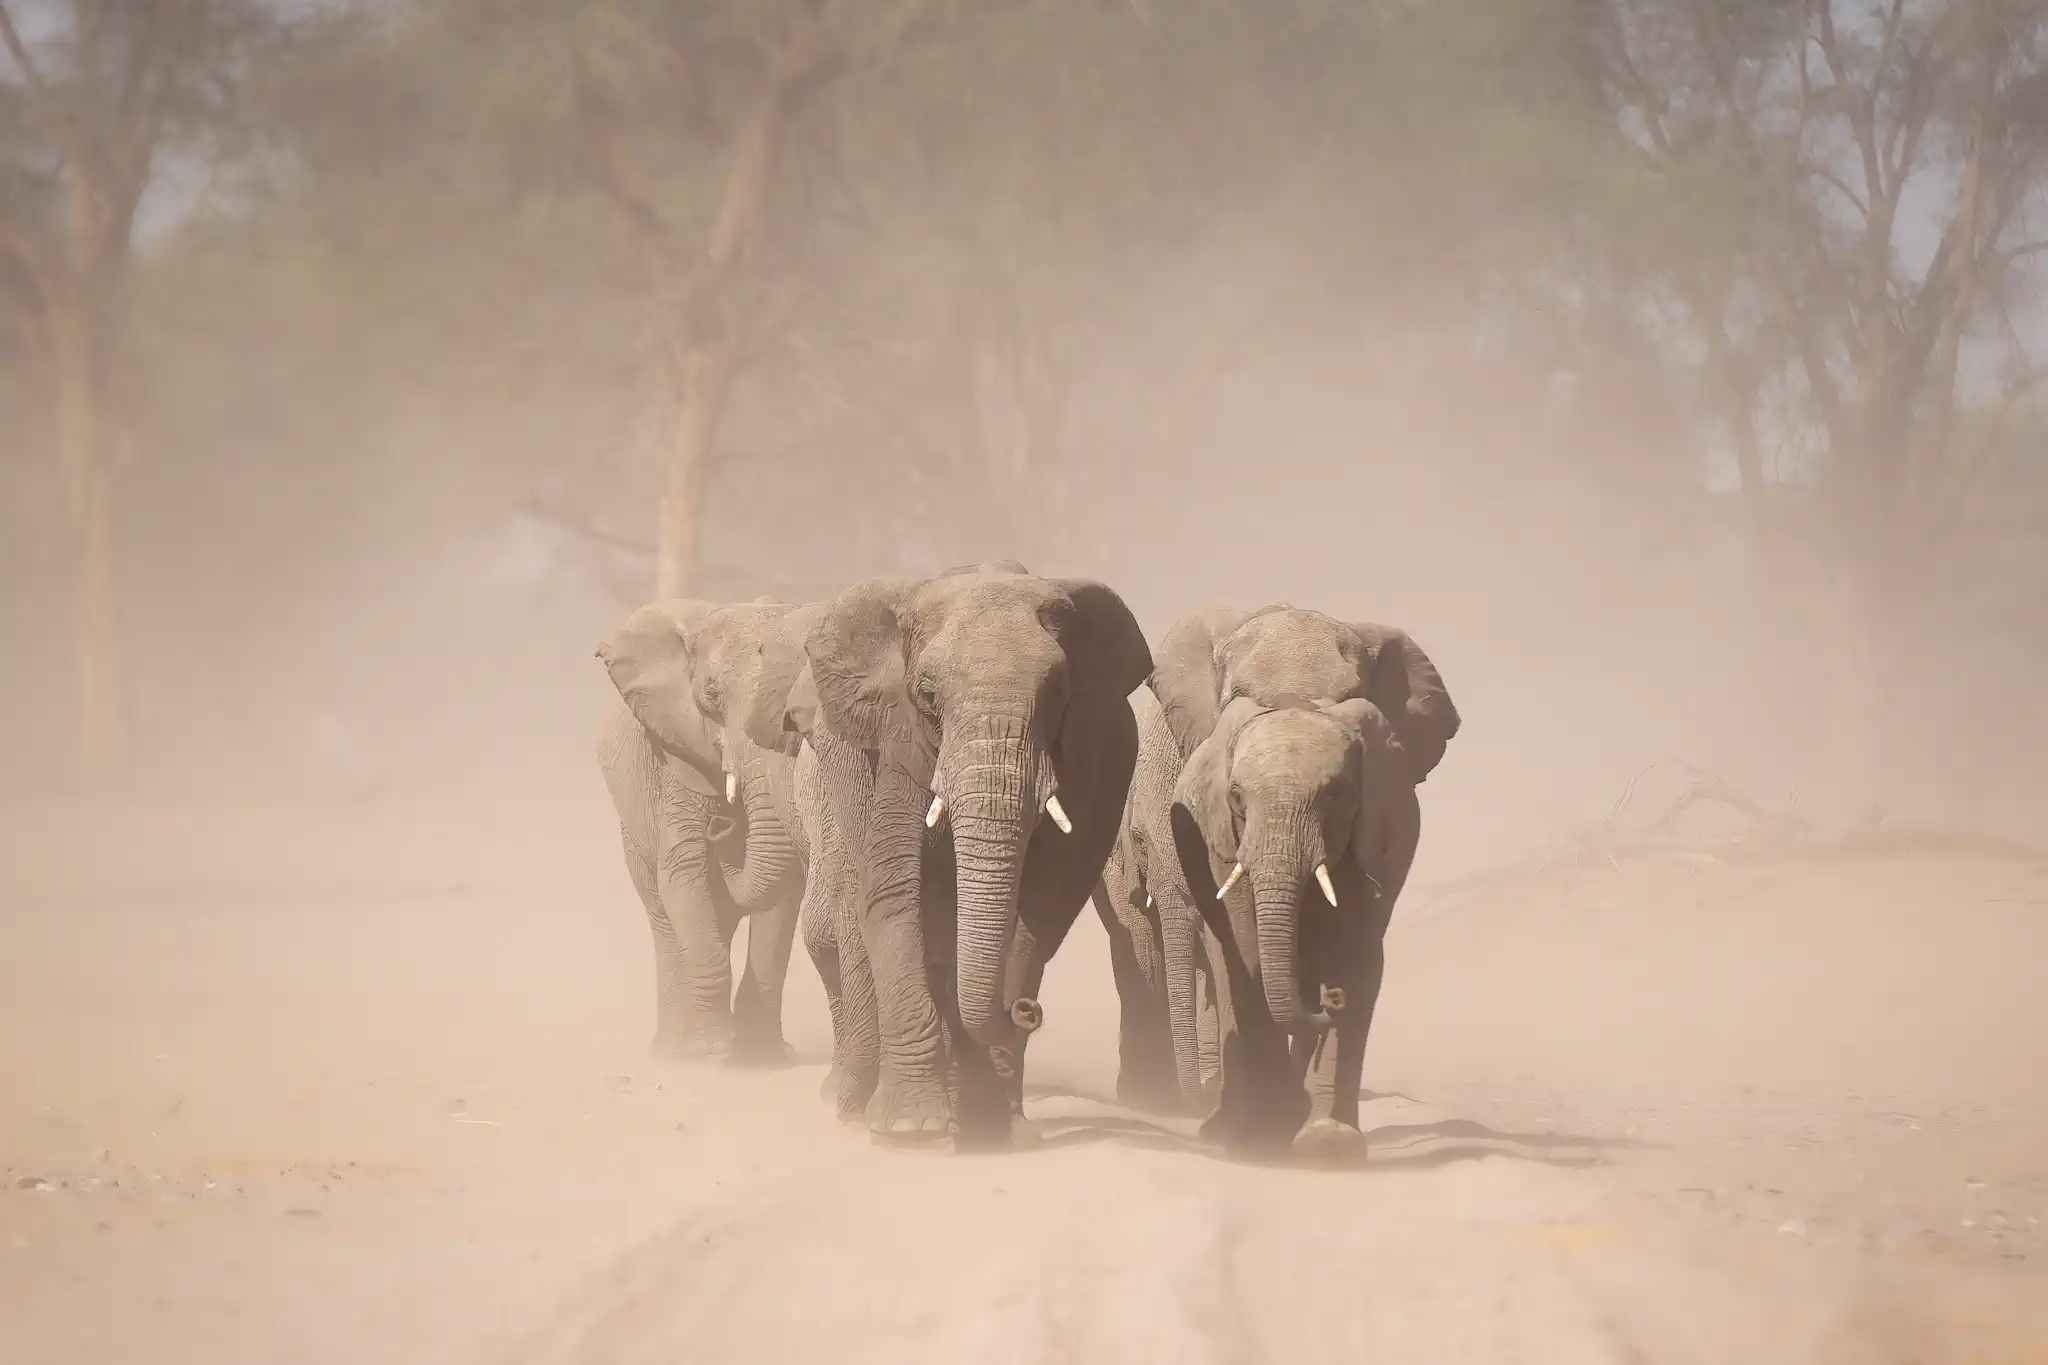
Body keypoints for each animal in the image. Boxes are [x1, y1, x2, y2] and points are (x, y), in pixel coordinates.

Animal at [593, 597, 811, 1065]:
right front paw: (711, 1049)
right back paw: (672, 1051)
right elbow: (681, 872)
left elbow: (785, 889)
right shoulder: (675, 758)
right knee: (663, 916)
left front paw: (762, 1056)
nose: (723, 825)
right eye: (710, 699)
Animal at [801, 564, 1153, 1145]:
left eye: (1057, 692)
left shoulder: (1094, 762)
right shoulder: (900, 742)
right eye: (926, 695)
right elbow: (894, 889)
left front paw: (987, 1126)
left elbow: (1042, 911)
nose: (1027, 1012)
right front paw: (912, 1128)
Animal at [1149, 606, 1459, 1157]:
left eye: (1338, 794)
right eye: (1236, 798)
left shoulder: (1386, 824)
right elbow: (1245, 945)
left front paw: (1327, 1146)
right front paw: (1263, 1135)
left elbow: (1356, 950)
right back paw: (1233, 1127)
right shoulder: (1215, 835)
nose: (1327, 1003)